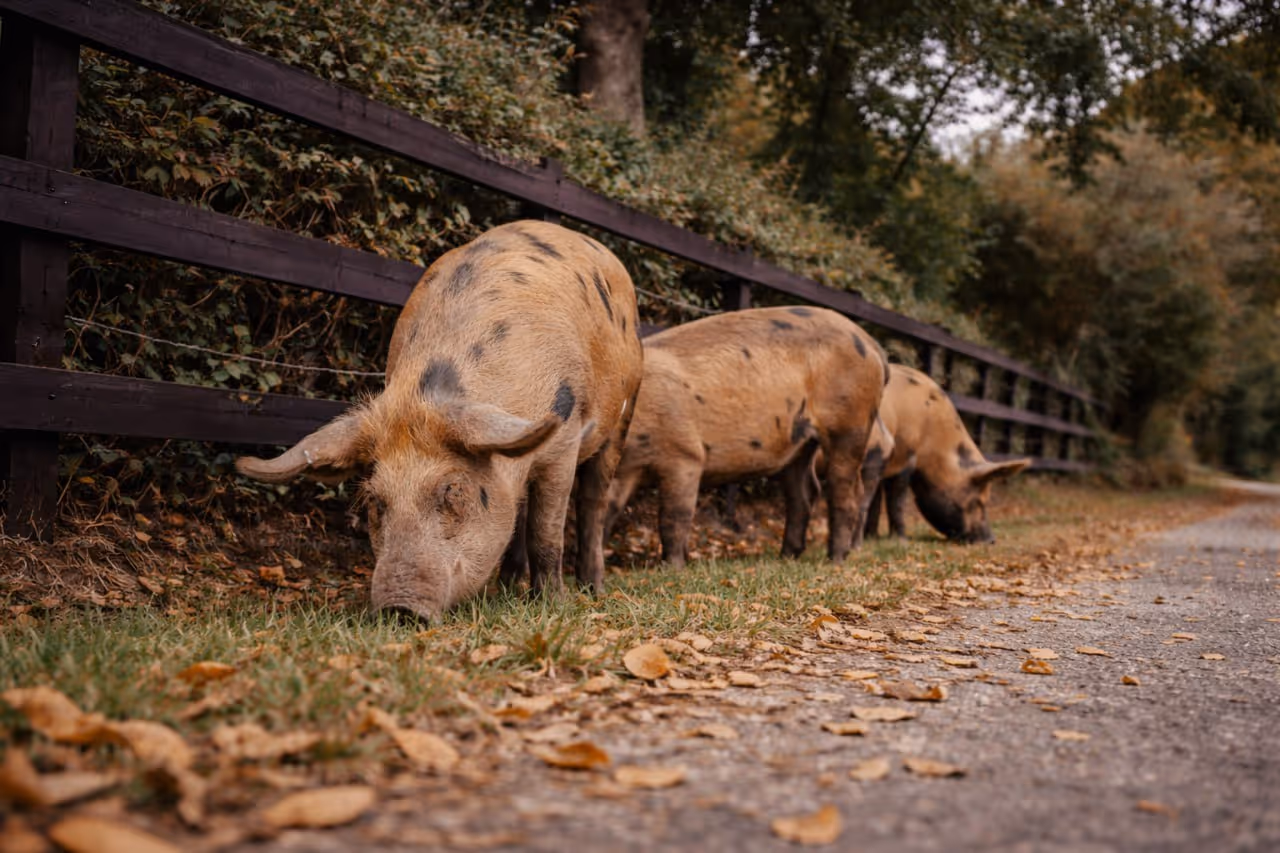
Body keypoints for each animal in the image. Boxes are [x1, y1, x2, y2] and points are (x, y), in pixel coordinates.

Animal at [235, 221, 644, 619]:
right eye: (375, 500)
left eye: (453, 490)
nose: (400, 608)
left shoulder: (565, 438)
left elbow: (547, 532)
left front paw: (551, 606)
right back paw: (509, 586)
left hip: (624, 411)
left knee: (593, 501)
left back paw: (592, 588)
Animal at [603, 306, 888, 567]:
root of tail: (873, 346)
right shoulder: (627, 469)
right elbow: (611, 507)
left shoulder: (685, 456)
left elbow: (674, 515)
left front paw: (671, 568)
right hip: (801, 444)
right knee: (804, 493)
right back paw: (786, 557)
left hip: (851, 424)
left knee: (846, 491)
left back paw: (835, 560)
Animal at [861, 364, 1030, 543]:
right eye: (979, 500)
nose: (991, 540)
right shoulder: (905, 455)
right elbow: (896, 500)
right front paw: (901, 539)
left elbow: (876, 501)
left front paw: (871, 537)